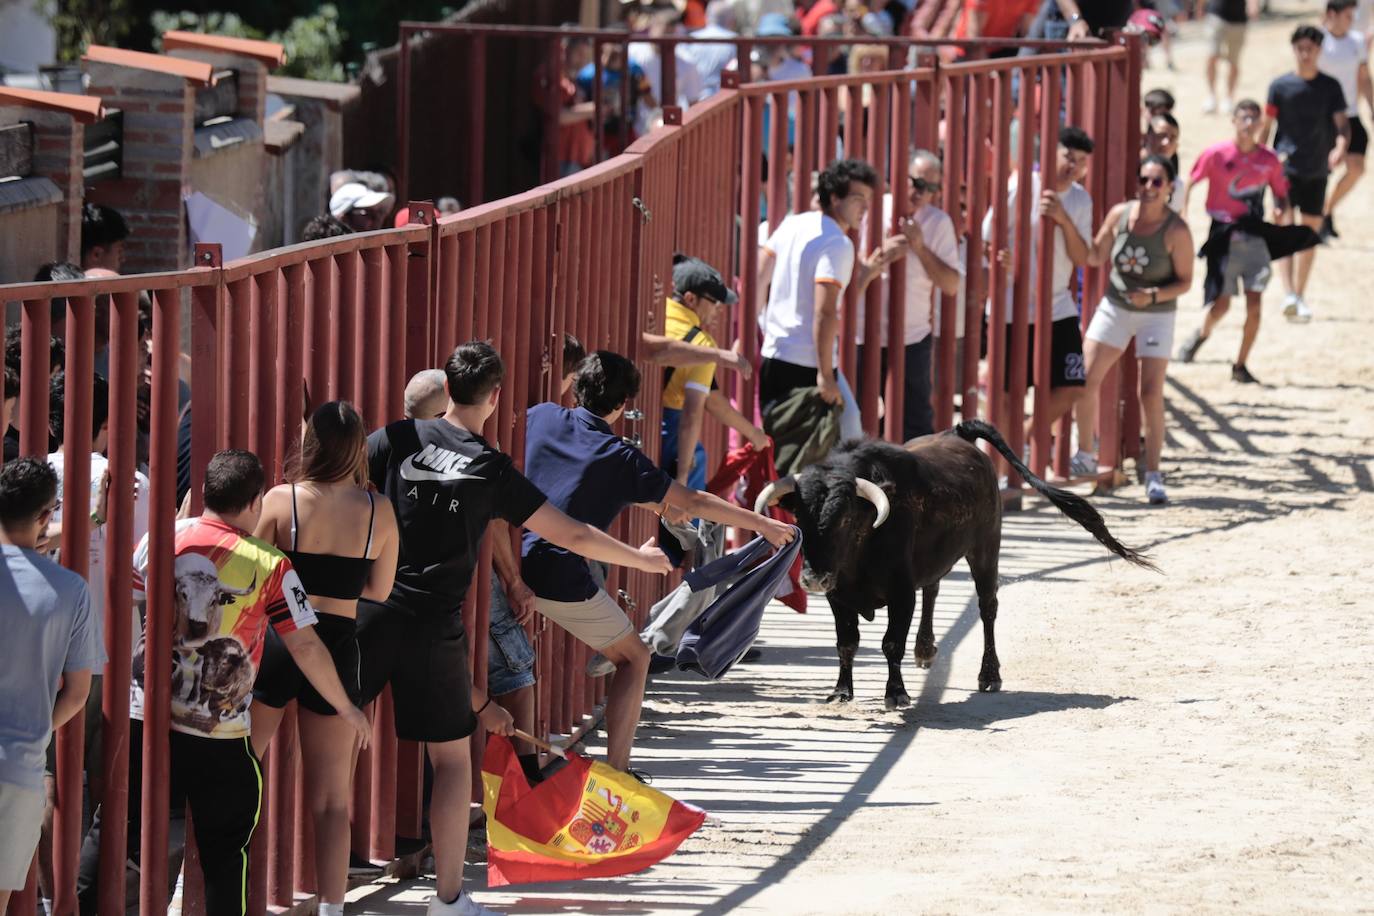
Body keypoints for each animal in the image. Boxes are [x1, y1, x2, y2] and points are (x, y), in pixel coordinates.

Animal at [758, 420, 1154, 708]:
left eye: (845, 519)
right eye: (800, 518)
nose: (813, 579)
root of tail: (957, 433)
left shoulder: (900, 593)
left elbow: (891, 644)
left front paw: (896, 694)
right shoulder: (839, 596)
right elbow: (847, 643)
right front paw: (841, 692)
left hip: (986, 548)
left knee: (987, 607)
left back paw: (989, 675)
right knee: (933, 588)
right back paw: (925, 649)